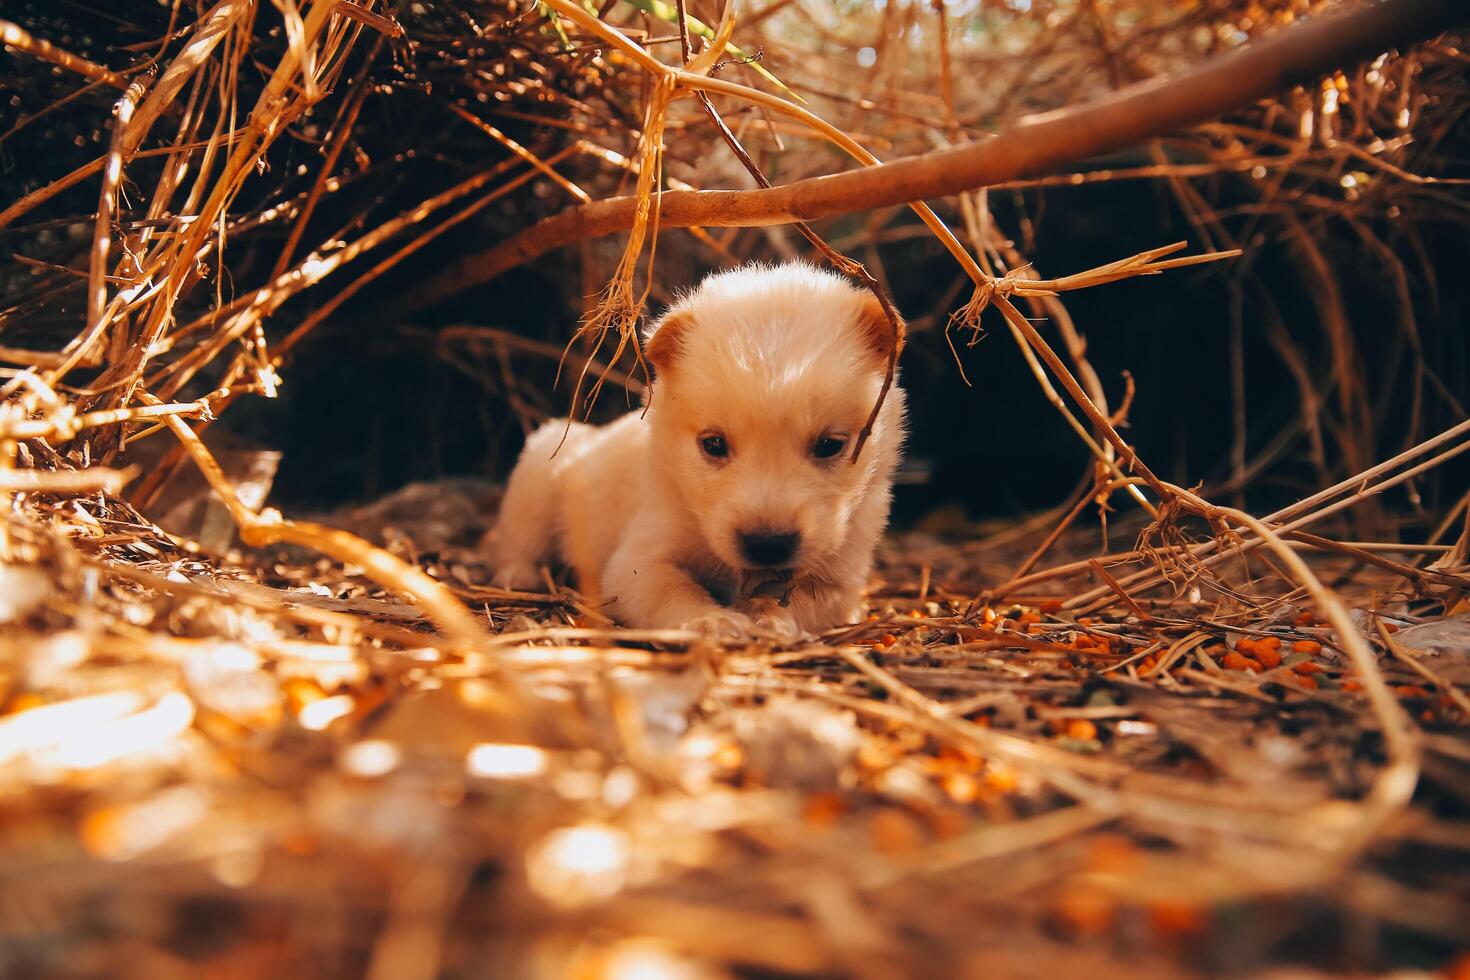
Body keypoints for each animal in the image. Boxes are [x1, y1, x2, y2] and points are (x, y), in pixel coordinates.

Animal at [493, 264, 899, 640]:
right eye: (713, 444)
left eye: (830, 445)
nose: (767, 544)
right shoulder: (638, 561)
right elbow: (673, 589)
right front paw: (713, 621)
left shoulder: (843, 580)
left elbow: (804, 600)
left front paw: (769, 619)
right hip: (537, 476)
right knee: (519, 538)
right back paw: (518, 574)